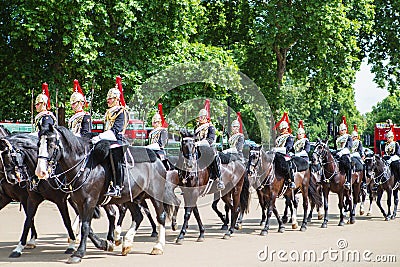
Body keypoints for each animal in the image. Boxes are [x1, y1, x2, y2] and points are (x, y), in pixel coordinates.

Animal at [34, 126, 177, 264]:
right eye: (38, 144)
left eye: (51, 144)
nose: (40, 172)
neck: (84, 166)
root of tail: (157, 159)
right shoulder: (80, 202)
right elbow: (87, 227)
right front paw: (105, 244)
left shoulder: (90, 201)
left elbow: (85, 226)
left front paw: (79, 253)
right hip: (131, 197)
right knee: (138, 216)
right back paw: (127, 243)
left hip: (155, 194)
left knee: (161, 216)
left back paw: (158, 246)